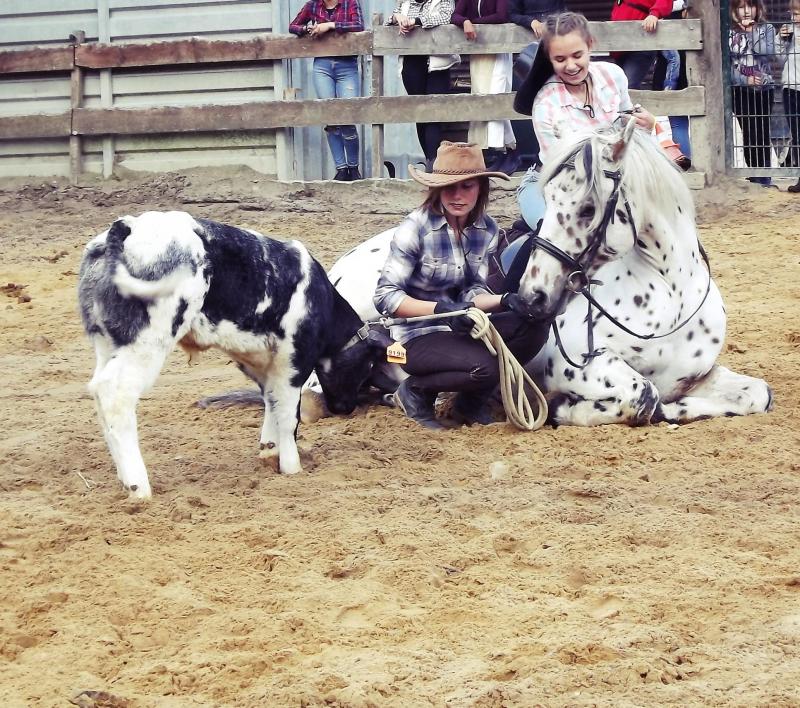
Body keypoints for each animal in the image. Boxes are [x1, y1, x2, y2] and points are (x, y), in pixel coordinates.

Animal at [78, 210, 382, 498]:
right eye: (367, 366)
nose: (345, 409)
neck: (321, 300)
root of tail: (125, 227)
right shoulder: (294, 360)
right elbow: (288, 415)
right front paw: (292, 467)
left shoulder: (264, 363)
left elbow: (271, 403)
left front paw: (270, 453)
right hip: (147, 342)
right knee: (116, 395)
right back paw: (138, 487)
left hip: (108, 344)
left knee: (99, 392)